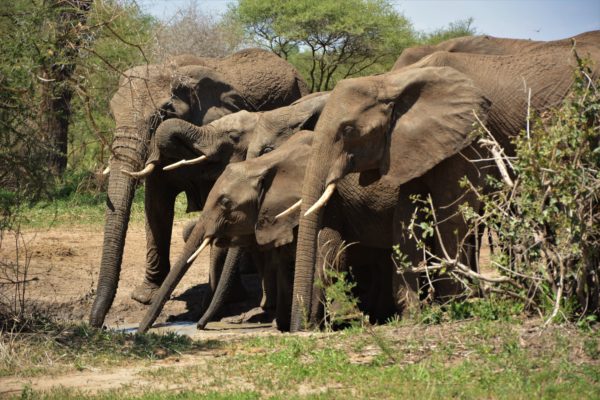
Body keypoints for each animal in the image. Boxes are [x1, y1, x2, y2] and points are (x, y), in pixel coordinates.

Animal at [88, 48, 310, 328]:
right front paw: (146, 296)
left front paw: (227, 300)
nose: (99, 324)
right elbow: (156, 208)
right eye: (113, 114)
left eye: (161, 116)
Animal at [290, 32, 600, 332]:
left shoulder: (468, 135)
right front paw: (412, 315)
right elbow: (406, 216)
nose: (300, 329)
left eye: (348, 130)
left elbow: (451, 212)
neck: (393, 82)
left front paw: (452, 307)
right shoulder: (414, 142)